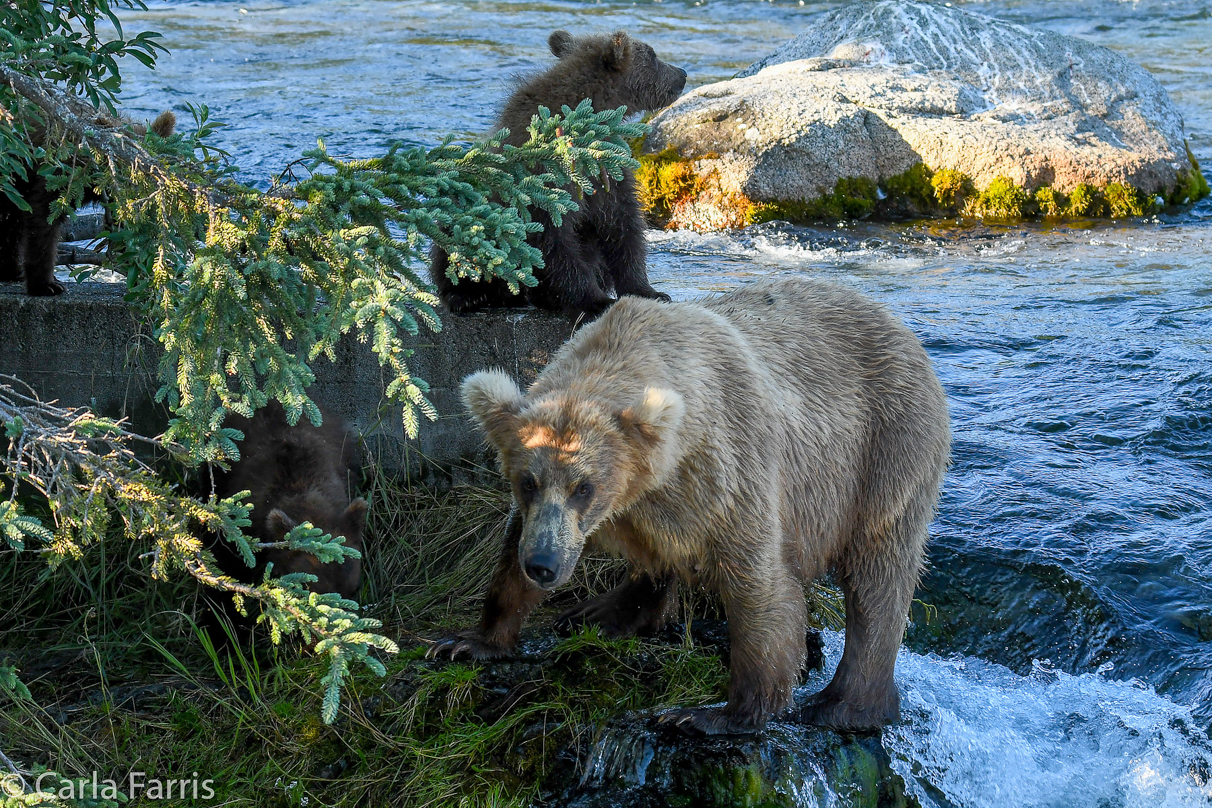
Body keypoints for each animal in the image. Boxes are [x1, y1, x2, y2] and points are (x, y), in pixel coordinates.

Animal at [431, 31, 688, 322]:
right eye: (653, 55)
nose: (682, 74)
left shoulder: (606, 169)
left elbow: (622, 225)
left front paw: (649, 291)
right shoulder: (543, 182)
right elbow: (552, 242)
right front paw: (595, 300)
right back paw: (471, 296)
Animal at [431, 276, 950, 731]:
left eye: (584, 487)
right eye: (527, 482)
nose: (543, 565)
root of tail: (900, 326)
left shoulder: (728, 470)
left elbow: (759, 583)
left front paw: (715, 714)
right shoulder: (634, 502)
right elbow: (512, 551)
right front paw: (469, 641)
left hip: (886, 450)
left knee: (877, 576)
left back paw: (845, 706)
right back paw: (597, 613)